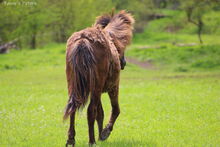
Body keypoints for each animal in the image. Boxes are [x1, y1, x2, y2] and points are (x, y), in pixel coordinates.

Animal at [63, 10, 134, 146]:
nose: (123, 62)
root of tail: (83, 41)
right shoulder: (113, 87)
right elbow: (115, 110)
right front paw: (105, 132)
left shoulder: (98, 91)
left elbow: (100, 113)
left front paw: (101, 135)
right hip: (97, 87)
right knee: (91, 110)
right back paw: (92, 141)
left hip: (75, 85)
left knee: (73, 108)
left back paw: (71, 139)